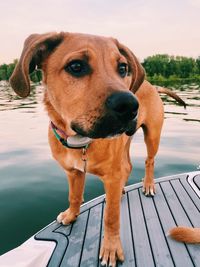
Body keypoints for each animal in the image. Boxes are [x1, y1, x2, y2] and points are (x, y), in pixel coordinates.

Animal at [9, 32, 186, 266]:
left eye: (122, 68)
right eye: (76, 66)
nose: (131, 105)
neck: (80, 142)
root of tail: (151, 85)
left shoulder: (110, 175)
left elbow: (111, 217)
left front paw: (111, 249)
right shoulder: (73, 172)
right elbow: (74, 196)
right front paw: (71, 215)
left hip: (152, 135)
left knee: (149, 161)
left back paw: (148, 185)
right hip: (124, 144)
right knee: (127, 166)